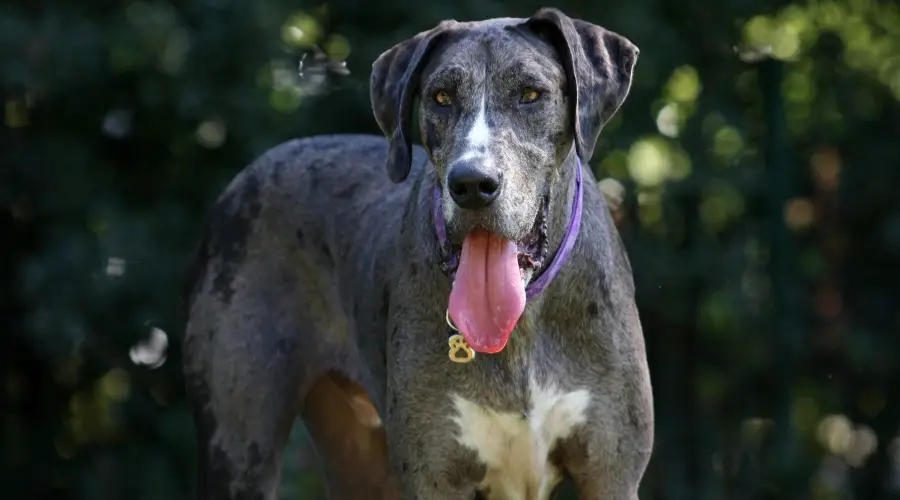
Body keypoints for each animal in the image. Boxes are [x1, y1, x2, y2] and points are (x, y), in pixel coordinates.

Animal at [183, 7, 652, 500]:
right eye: (441, 96)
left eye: (530, 94)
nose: (472, 183)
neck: (521, 324)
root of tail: (242, 179)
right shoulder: (434, 476)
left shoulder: (611, 475)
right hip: (238, 449)